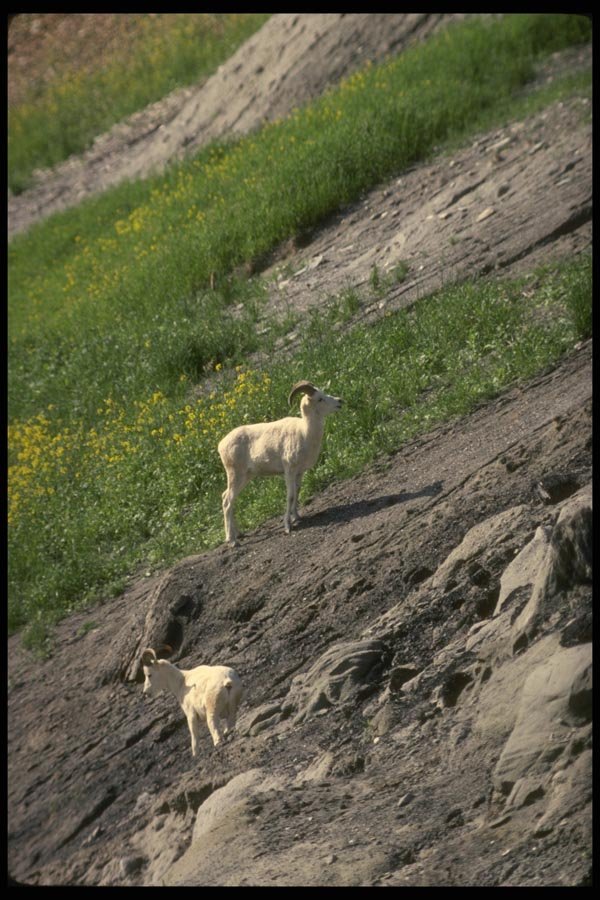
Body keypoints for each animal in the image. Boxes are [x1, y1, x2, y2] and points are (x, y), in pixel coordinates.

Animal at [218, 380, 342, 546]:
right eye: (320, 399)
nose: (340, 401)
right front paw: (288, 526)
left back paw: (239, 534)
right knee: (227, 501)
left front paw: (297, 517)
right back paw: (232, 541)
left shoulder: (299, 472)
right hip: (235, 475)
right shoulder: (289, 471)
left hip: (245, 477)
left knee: (228, 498)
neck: (304, 432)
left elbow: (297, 492)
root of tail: (221, 445)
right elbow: (290, 496)